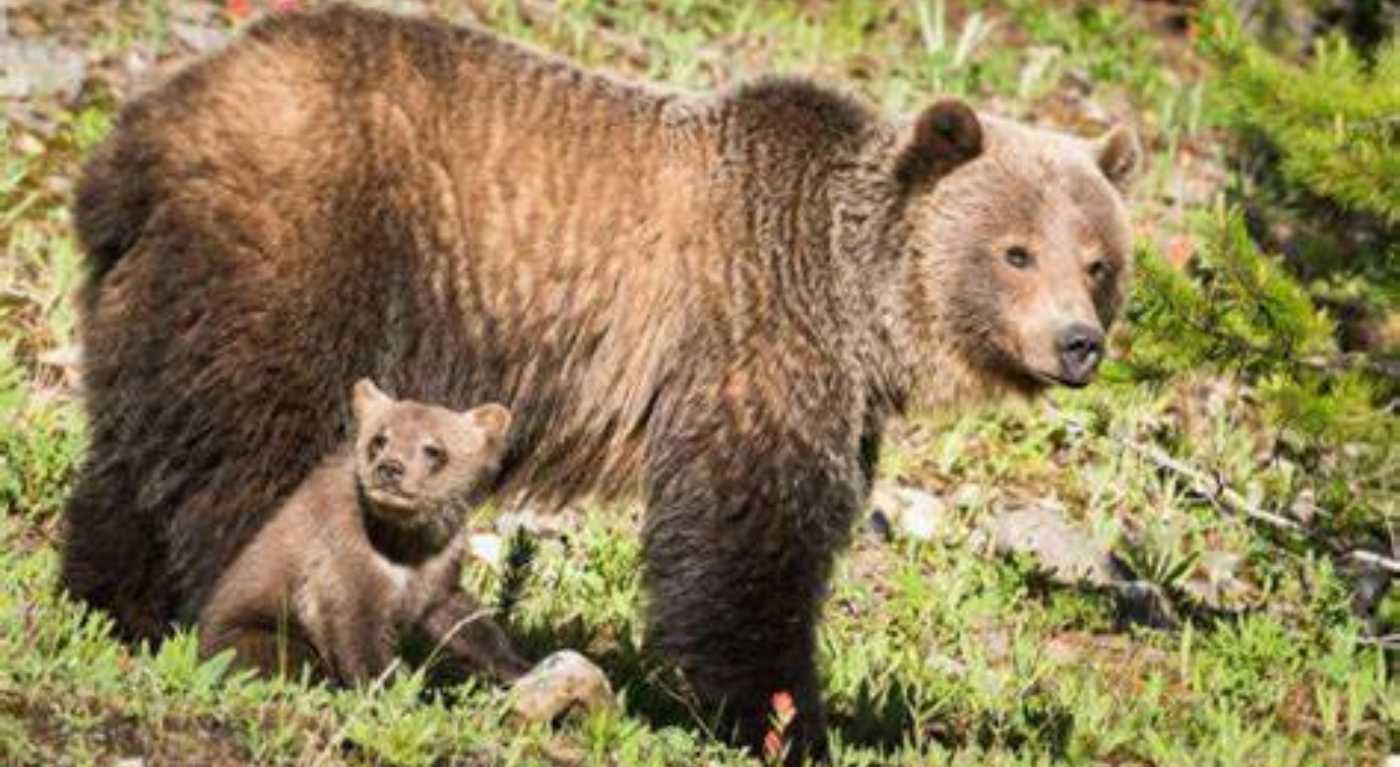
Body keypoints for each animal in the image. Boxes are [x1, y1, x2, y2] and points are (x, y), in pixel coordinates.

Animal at [63, 1, 1136, 761]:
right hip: (303, 249)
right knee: (256, 453)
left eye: (1098, 260)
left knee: (137, 448)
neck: (856, 293)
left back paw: (112, 602)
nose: (1079, 342)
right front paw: (778, 717)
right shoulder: (754, 334)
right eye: (1015, 250)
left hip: (158, 291)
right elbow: (747, 536)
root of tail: (144, 133)